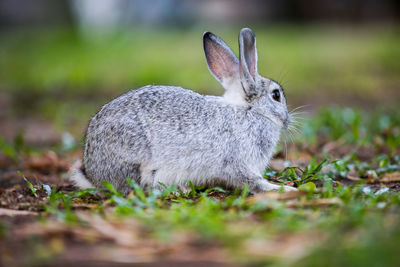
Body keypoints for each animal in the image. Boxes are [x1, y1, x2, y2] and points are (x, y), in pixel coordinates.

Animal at [71, 28, 296, 196]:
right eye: (276, 95)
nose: (288, 121)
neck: (250, 111)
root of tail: (93, 175)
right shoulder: (234, 162)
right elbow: (252, 181)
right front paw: (284, 189)